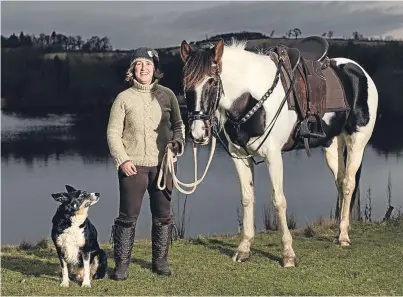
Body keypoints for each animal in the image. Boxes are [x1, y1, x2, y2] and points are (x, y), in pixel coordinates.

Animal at [180, 38, 378, 268]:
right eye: (185, 83)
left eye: (212, 81)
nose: (198, 133)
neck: (251, 98)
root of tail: (359, 71)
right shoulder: (239, 156)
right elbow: (247, 198)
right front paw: (244, 249)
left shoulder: (273, 156)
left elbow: (279, 201)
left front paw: (288, 255)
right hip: (332, 144)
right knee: (339, 181)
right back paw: (339, 232)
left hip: (357, 142)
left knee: (348, 184)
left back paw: (344, 236)